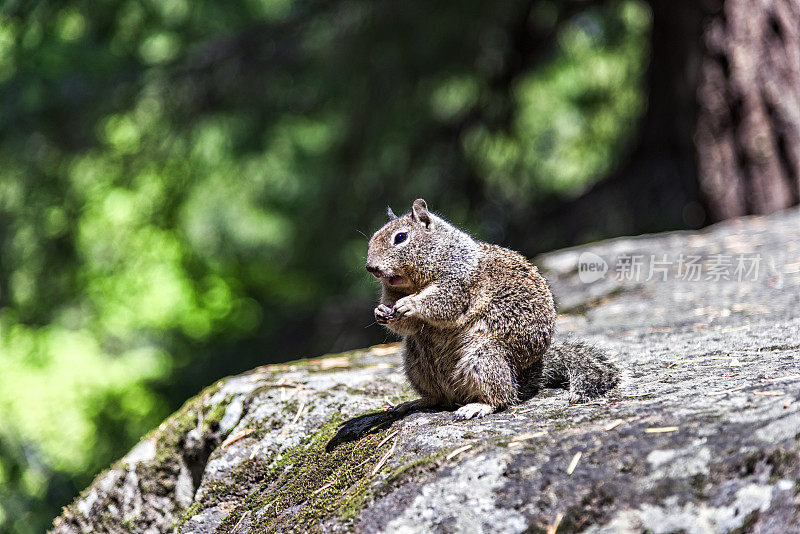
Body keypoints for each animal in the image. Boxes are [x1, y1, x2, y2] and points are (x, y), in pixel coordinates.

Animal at [366, 199, 620, 420]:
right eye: (372, 238)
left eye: (400, 237)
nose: (370, 267)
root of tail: (521, 376)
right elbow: (407, 325)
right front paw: (380, 312)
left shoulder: (459, 283)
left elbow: (443, 304)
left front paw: (410, 304)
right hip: (416, 364)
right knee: (437, 398)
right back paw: (413, 403)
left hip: (483, 357)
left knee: (503, 397)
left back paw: (478, 406)